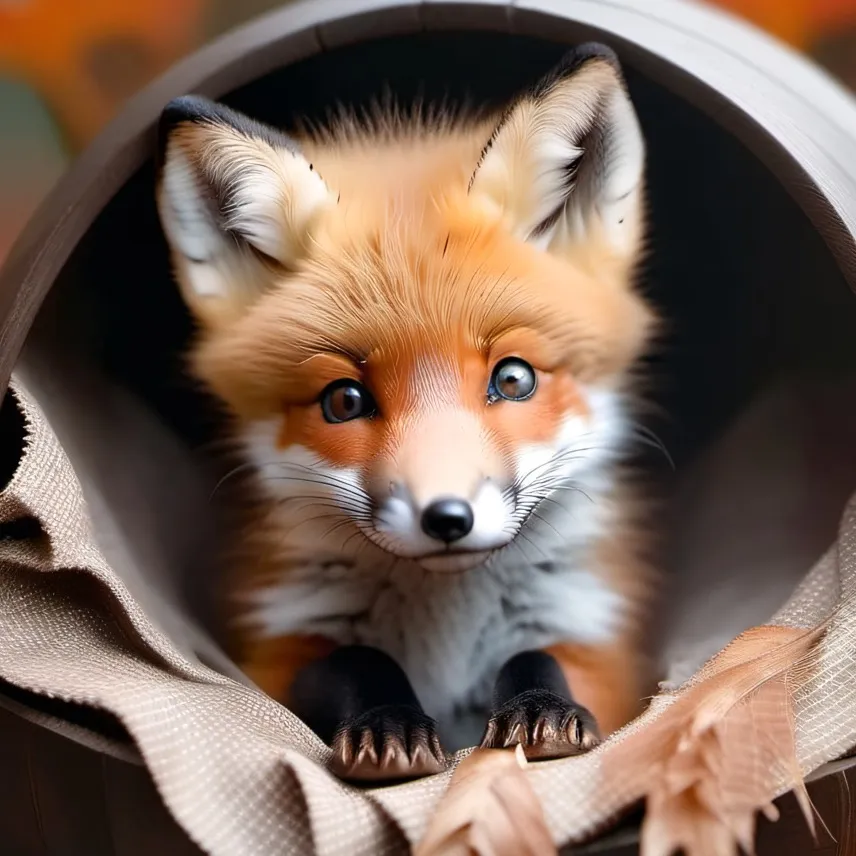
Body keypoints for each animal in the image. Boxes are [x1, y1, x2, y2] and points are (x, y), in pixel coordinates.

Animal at [155, 43, 657, 783]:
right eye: (344, 400)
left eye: (514, 378)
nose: (447, 518)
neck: (445, 629)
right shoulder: (275, 651)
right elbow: (356, 659)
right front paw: (388, 724)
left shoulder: (598, 646)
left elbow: (533, 658)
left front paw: (540, 708)